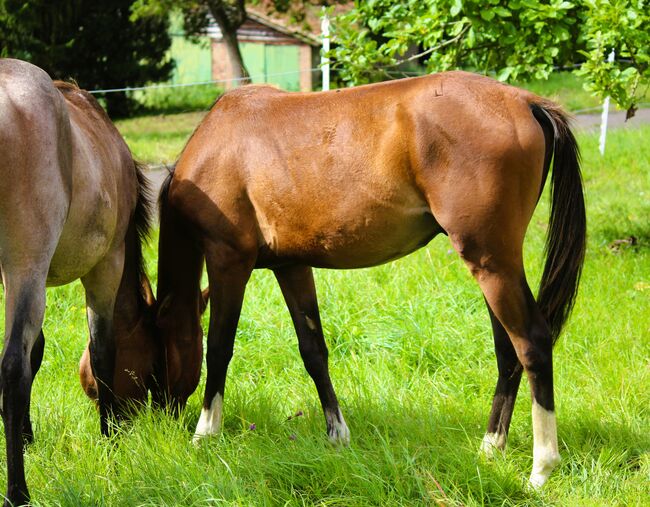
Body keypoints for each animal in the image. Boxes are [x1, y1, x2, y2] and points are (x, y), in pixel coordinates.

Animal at [0, 58, 160, 504]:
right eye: (153, 358)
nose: (142, 417)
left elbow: (36, 351)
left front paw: (26, 439)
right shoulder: (105, 267)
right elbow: (103, 352)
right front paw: (111, 442)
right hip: (27, 265)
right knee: (12, 369)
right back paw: (17, 492)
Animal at [158, 71, 588, 488]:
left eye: (154, 342)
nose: (160, 411)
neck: (219, 144)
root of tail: (525, 102)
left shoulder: (228, 260)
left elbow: (220, 348)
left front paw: (204, 433)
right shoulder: (291, 265)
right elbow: (313, 350)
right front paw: (337, 436)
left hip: (492, 264)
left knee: (531, 343)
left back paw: (541, 468)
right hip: (493, 268)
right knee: (507, 351)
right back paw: (490, 448)